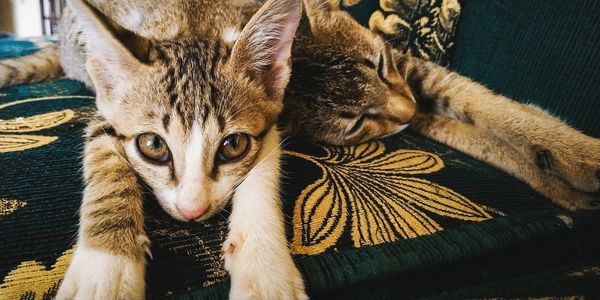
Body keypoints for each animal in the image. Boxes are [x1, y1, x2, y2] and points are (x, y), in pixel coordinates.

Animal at [54, 0, 308, 300]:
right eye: (153, 145)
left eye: (234, 145)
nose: (192, 210)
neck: (193, 26)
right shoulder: (104, 110)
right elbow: (106, 162)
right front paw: (105, 269)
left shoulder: (272, 115)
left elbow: (265, 166)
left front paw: (264, 266)